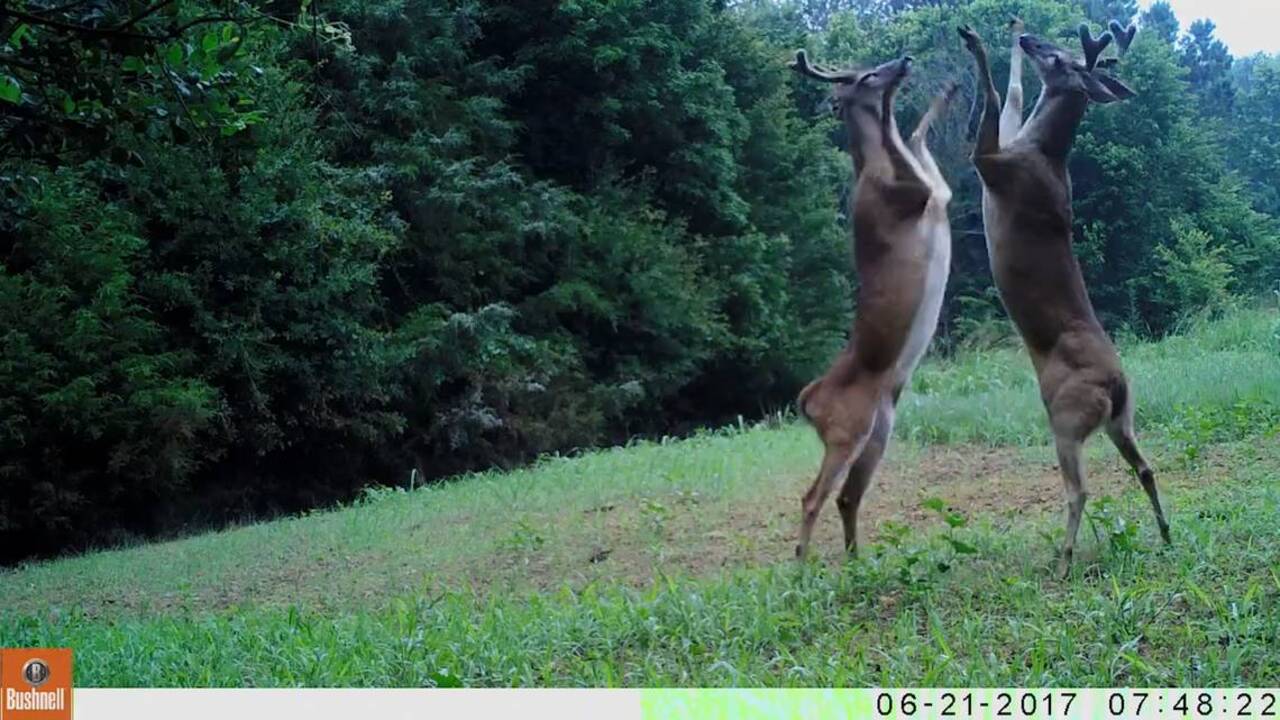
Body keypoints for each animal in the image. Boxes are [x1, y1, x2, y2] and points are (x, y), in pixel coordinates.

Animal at [790, 51, 958, 560]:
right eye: (864, 76)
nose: (901, 60)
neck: (872, 171)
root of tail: (807, 401)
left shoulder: (939, 192)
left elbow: (918, 136)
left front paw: (948, 89)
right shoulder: (914, 195)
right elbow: (901, 136)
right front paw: (890, 102)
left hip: (879, 431)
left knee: (846, 497)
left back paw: (856, 560)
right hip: (847, 430)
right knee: (812, 497)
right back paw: (803, 564)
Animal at [956, 19, 1170, 576]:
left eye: (1060, 58)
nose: (1032, 40)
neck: (1040, 152)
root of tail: (1116, 384)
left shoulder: (990, 162)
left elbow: (994, 97)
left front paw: (977, 40)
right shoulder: (1005, 145)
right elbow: (1011, 95)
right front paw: (1006, 32)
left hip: (1067, 419)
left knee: (1080, 489)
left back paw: (1065, 559)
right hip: (1122, 418)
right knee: (1146, 468)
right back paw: (1166, 535)